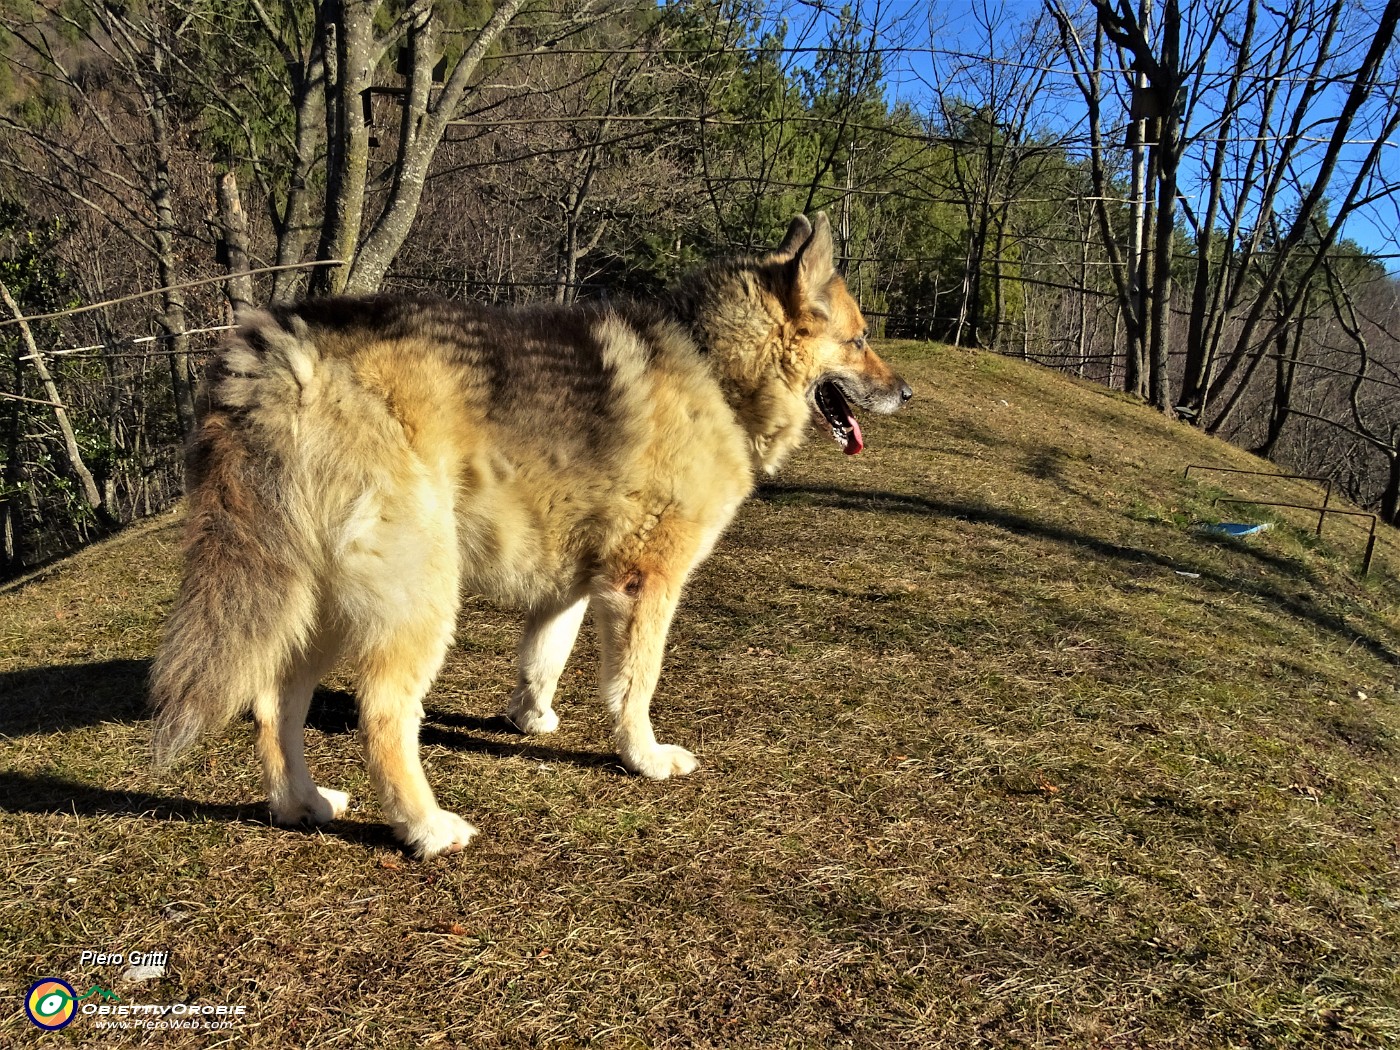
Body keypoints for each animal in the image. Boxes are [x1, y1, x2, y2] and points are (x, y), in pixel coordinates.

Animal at [153, 215, 912, 862]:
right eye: (859, 340)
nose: (905, 393)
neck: (714, 366)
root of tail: (279, 350)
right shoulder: (645, 583)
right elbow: (635, 685)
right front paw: (642, 756)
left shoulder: (574, 586)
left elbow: (545, 658)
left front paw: (531, 718)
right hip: (418, 593)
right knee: (383, 715)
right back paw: (426, 828)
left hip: (321, 601)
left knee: (273, 701)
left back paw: (300, 803)